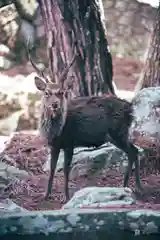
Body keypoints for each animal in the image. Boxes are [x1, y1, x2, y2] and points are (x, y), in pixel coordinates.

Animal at [28, 46, 143, 202]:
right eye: (46, 92)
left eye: (62, 92)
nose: (55, 104)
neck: (56, 132)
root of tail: (131, 108)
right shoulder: (54, 145)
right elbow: (51, 169)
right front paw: (45, 195)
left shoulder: (70, 142)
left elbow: (66, 169)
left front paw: (66, 196)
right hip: (116, 135)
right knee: (133, 151)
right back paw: (125, 186)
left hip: (118, 132)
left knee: (134, 151)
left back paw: (136, 187)